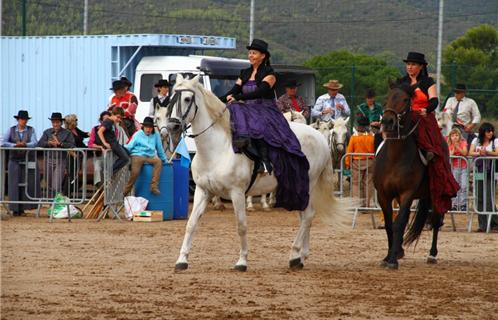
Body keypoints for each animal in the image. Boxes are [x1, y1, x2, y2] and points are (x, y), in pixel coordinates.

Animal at [169, 74, 348, 272]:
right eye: (171, 98)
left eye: (187, 99)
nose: (172, 126)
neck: (217, 149)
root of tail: (319, 138)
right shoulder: (203, 191)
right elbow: (191, 224)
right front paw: (182, 260)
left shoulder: (237, 192)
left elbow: (241, 226)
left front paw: (242, 261)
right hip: (298, 186)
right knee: (305, 216)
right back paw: (301, 256)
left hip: (307, 184)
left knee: (308, 215)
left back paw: (294, 255)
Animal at [374, 84, 444, 268]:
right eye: (387, 97)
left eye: (406, 99)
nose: (387, 121)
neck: (395, 157)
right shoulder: (384, 195)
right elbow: (390, 225)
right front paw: (389, 256)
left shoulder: (407, 193)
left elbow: (398, 224)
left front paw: (392, 261)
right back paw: (399, 250)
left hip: (434, 193)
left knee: (436, 221)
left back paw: (432, 254)